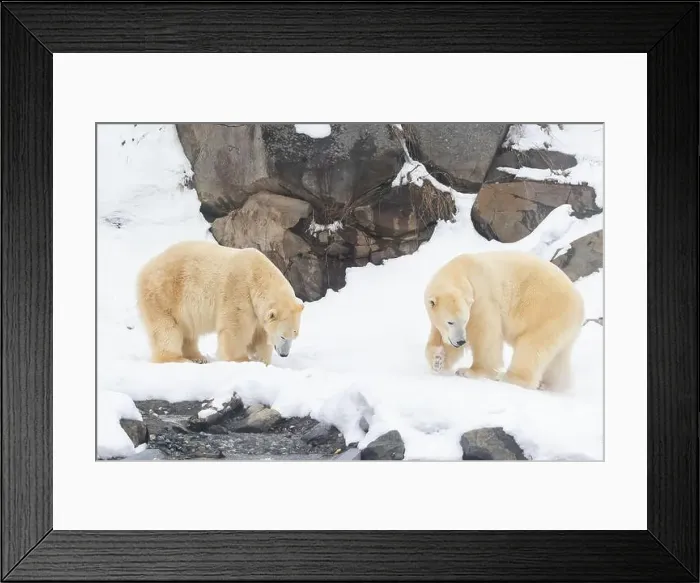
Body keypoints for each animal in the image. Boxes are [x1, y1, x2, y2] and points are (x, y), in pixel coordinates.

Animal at [136, 240, 303, 365]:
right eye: (283, 336)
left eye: (294, 335)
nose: (284, 354)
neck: (256, 275)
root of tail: (146, 268)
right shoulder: (239, 291)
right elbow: (236, 328)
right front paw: (241, 360)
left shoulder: (257, 311)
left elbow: (260, 334)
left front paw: (263, 361)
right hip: (164, 294)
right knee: (166, 329)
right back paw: (177, 359)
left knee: (188, 331)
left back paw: (198, 357)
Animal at [424, 250, 584, 391]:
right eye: (450, 322)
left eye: (464, 320)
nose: (460, 341)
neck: (462, 270)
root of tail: (580, 305)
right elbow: (439, 337)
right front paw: (438, 360)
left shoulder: (481, 298)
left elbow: (485, 333)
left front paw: (469, 371)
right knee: (558, 359)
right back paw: (550, 385)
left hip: (546, 313)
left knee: (531, 347)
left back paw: (505, 377)